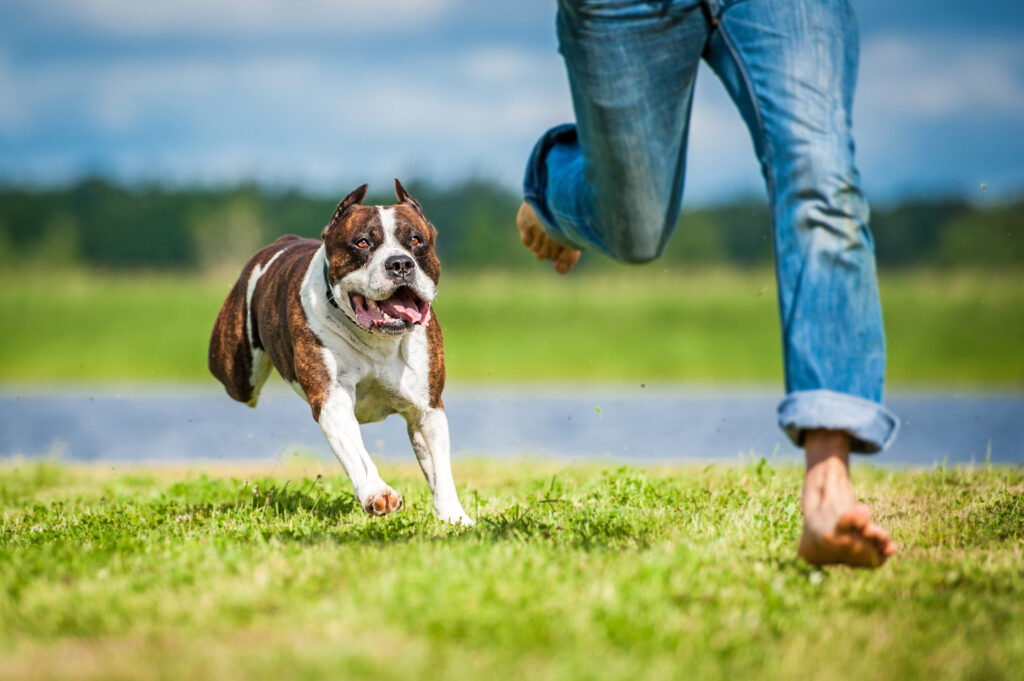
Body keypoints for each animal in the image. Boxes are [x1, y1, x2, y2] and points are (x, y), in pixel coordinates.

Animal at [208, 180, 479, 524]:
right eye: (362, 243)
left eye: (416, 240)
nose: (400, 263)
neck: (378, 340)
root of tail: (284, 241)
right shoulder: (332, 399)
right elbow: (358, 456)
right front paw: (378, 493)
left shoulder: (427, 409)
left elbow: (441, 470)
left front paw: (454, 518)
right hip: (240, 376)